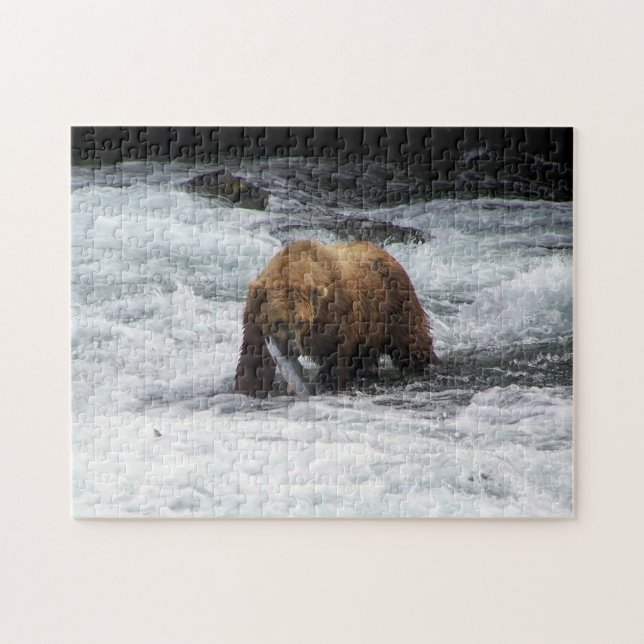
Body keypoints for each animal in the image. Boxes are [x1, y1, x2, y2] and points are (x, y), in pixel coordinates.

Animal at [234, 239, 440, 397]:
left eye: (301, 321)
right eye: (279, 321)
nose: (292, 348)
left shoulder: (333, 316)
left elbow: (334, 357)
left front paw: (330, 385)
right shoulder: (253, 317)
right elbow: (253, 360)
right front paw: (248, 389)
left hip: (395, 306)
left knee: (411, 344)